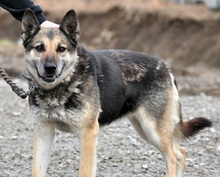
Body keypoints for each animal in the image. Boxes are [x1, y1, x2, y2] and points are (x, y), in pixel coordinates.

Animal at [20, 8, 211, 177]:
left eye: (61, 49)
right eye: (39, 48)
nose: (50, 68)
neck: (62, 86)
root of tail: (165, 66)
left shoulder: (88, 134)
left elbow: (85, 171)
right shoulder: (43, 133)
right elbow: (37, 171)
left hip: (153, 130)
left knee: (172, 157)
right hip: (144, 129)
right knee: (180, 153)